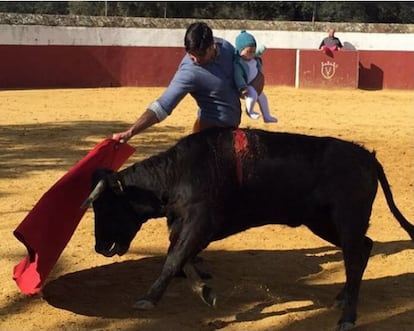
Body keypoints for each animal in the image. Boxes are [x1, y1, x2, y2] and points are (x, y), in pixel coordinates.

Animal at [82, 127, 412, 331]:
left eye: (105, 206)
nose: (100, 247)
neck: (177, 173)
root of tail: (368, 157)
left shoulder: (202, 221)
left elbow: (174, 259)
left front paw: (148, 299)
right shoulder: (186, 225)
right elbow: (180, 258)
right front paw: (205, 291)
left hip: (346, 218)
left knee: (354, 257)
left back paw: (348, 317)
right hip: (323, 222)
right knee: (363, 247)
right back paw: (343, 296)